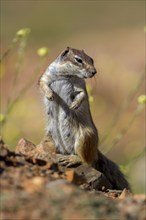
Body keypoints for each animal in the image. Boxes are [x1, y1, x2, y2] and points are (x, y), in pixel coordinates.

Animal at [38, 46, 130, 191]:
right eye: (79, 60)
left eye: (92, 59)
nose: (94, 72)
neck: (67, 75)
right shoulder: (47, 74)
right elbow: (43, 83)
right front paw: (50, 95)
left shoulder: (80, 86)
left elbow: (82, 95)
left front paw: (74, 105)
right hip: (49, 135)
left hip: (85, 136)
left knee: (86, 159)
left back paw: (71, 159)